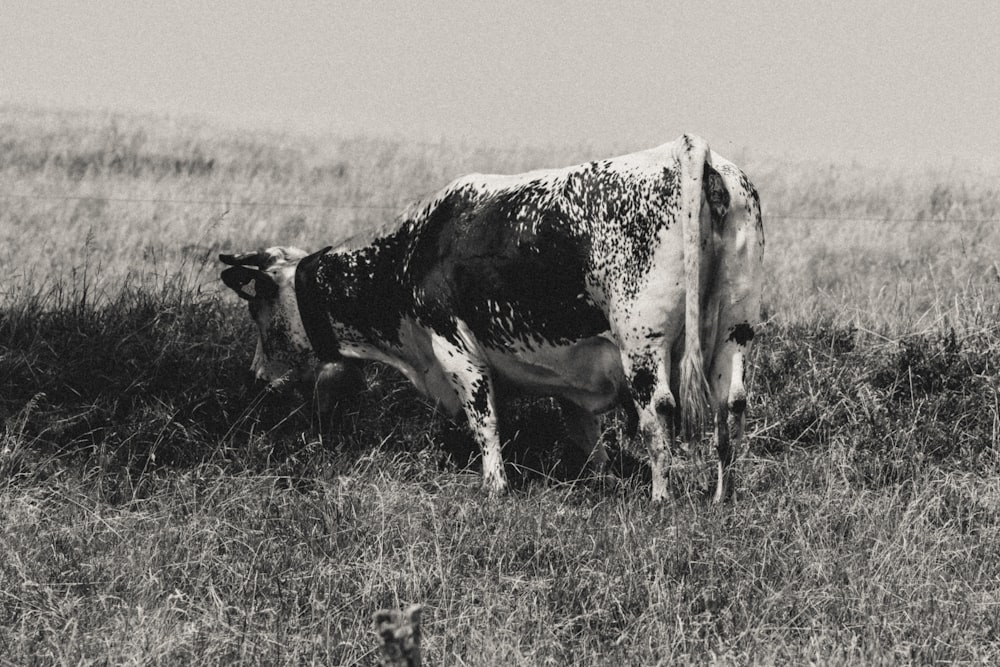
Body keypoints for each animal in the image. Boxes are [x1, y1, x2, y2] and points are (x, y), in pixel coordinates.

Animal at [221, 136, 764, 500]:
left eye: (256, 307)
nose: (254, 377)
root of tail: (686, 147)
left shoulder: (453, 347)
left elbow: (484, 419)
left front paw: (496, 487)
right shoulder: (571, 373)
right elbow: (586, 436)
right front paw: (602, 481)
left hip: (643, 344)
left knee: (659, 413)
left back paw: (661, 500)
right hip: (734, 331)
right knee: (731, 405)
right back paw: (723, 497)